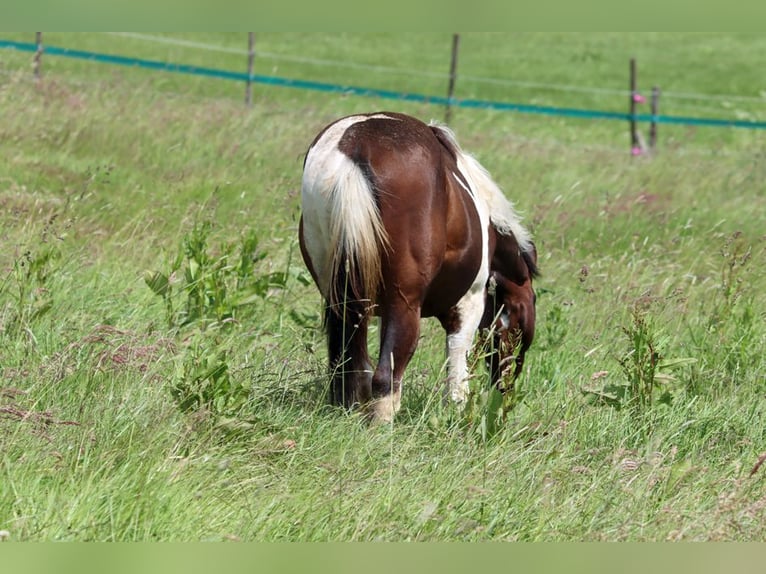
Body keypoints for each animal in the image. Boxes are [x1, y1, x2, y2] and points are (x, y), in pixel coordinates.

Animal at [298, 111, 538, 423]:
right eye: (518, 321)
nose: (505, 391)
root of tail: (355, 146)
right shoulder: (469, 304)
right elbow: (457, 370)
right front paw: (458, 418)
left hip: (343, 297)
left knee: (352, 369)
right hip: (404, 304)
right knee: (385, 377)